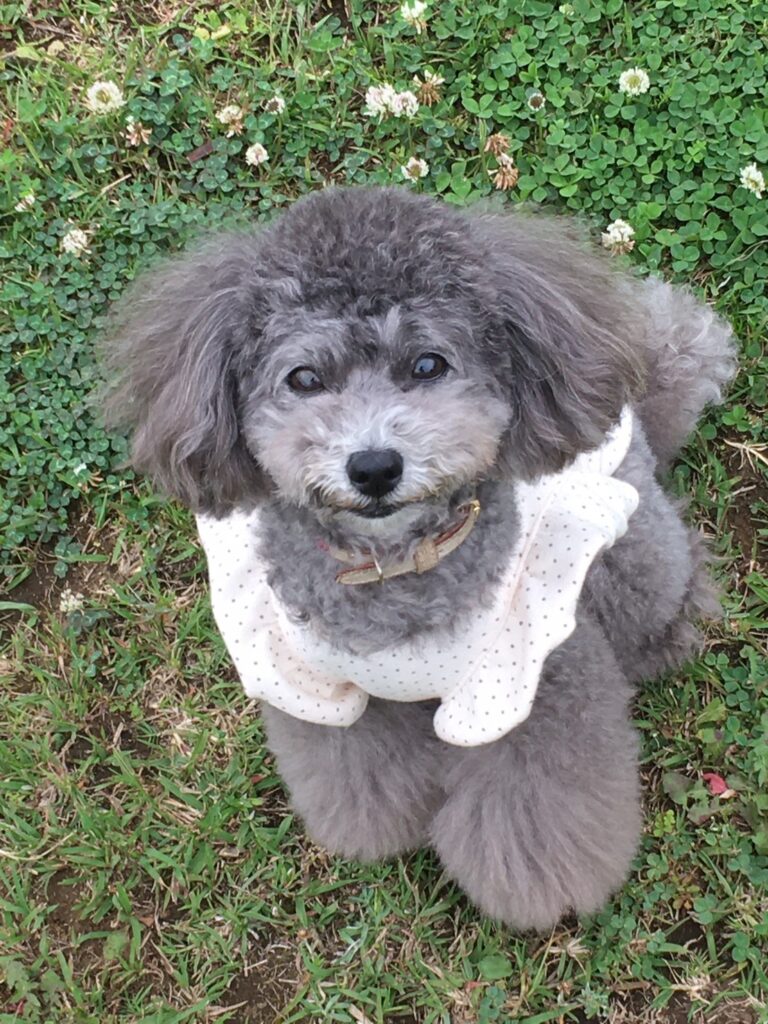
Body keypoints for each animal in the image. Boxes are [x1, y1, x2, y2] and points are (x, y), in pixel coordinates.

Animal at [102, 186, 736, 930]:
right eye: (305, 378)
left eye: (428, 365)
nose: (374, 466)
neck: (395, 567)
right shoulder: (317, 685)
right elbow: (355, 770)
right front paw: (376, 830)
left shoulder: (530, 681)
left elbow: (539, 798)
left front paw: (541, 887)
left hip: (634, 554)